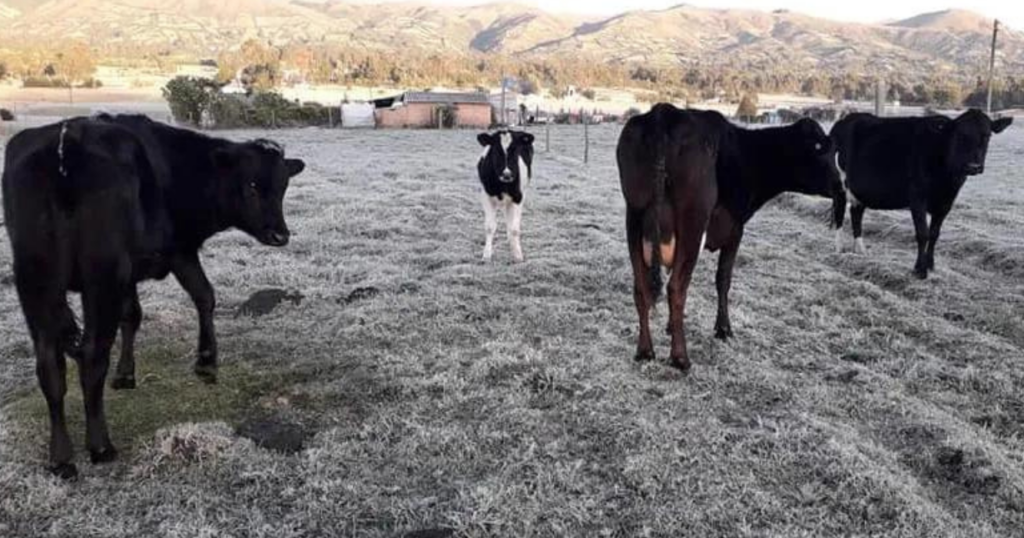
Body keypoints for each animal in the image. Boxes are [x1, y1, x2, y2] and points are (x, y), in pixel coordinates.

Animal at [3, 114, 303, 477]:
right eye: (253, 185)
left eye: (283, 186)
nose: (280, 235)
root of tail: (65, 141)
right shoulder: (179, 251)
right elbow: (205, 296)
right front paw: (206, 362)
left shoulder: (130, 274)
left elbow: (132, 315)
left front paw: (125, 374)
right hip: (101, 275)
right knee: (91, 356)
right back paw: (100, 446)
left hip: (35, 281)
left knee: (50, 365)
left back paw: (61, 458)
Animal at [473, 131, 532, 262]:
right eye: (496, 151)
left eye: (515, 150)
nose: (507, 174)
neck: (502, 184)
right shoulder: (486, 196)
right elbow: (490, 227)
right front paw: (487, 255)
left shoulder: (518, 197)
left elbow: (514, 229)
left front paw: (517, 254)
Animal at [614, 105, 839, 373]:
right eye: (819, 148)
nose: (841, 185)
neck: (748, 153)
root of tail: (663, 113)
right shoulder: (735, 229)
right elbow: (723, 279)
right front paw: (723, 329)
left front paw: (670, 326)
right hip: (692, 222)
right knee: (676, 287)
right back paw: (680, 358)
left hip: (634, 217)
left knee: (642, 288)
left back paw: (645, 351)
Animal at [831, 109, 1015, 276]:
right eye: (960, 135)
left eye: (987, 136)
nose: (974, 166)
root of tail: (848, 118)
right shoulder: (917, 198)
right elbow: (923, 233)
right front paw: (920, 270)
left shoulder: (946, 202)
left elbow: (934, 234)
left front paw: (930, 265)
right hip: (838, 186)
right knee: (839, 214)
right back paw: (839, 249)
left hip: (859, 191)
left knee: (856, 214)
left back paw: (860, 251)